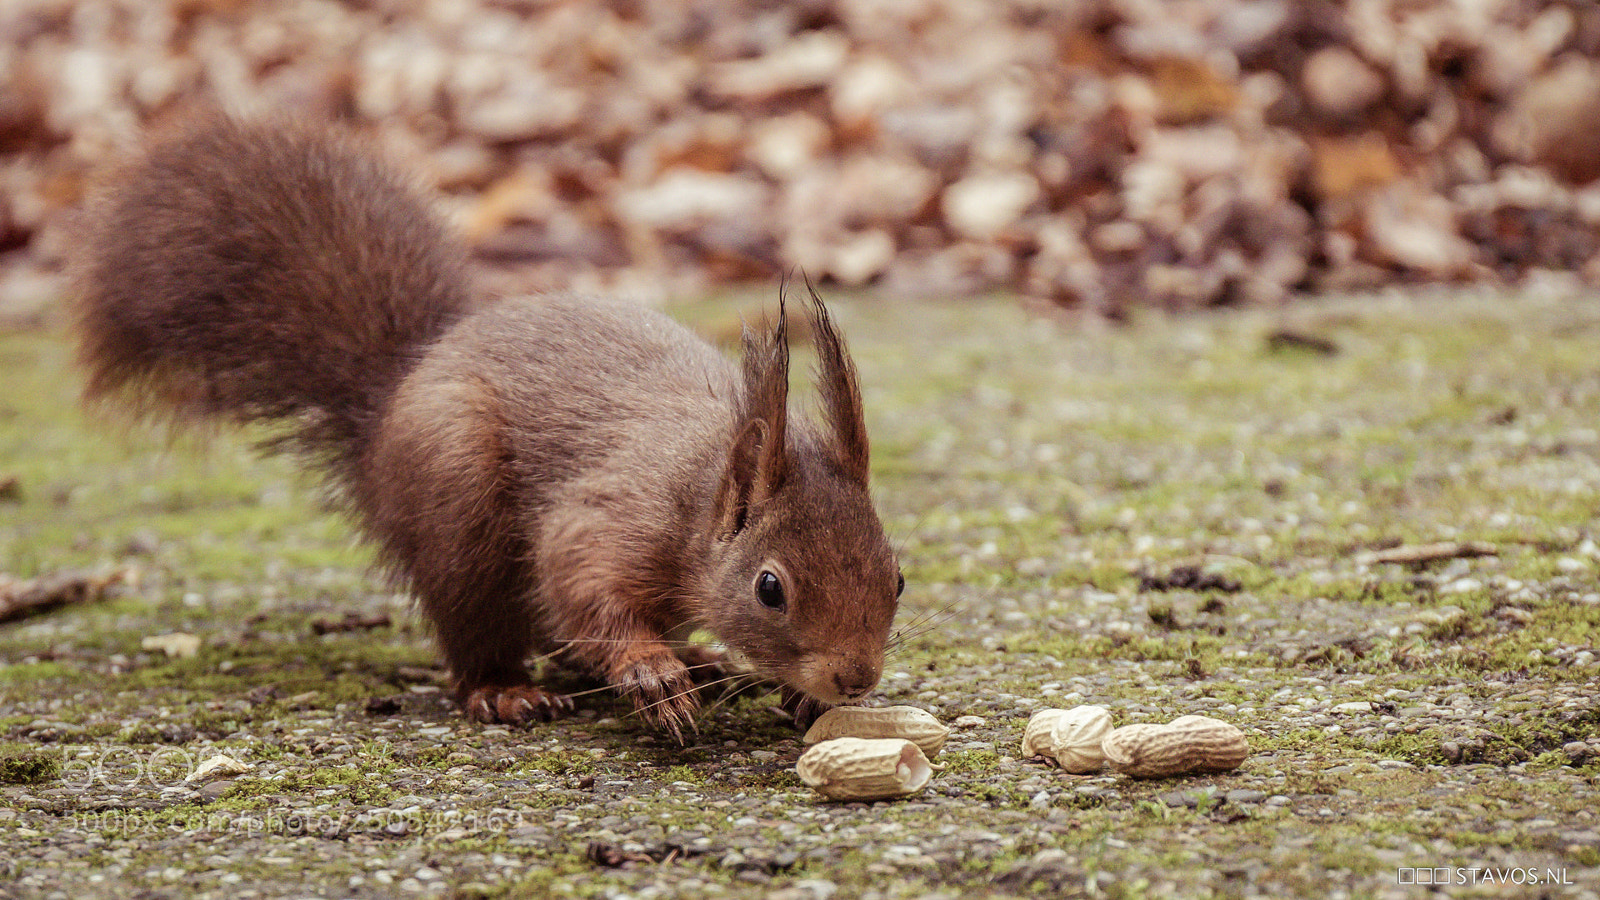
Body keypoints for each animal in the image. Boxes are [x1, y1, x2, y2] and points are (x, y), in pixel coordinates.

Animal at [71, 114, 904, 740]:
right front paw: (650, 671)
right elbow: (581, 580)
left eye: (897, 576)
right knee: (483, 633)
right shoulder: (613, 517)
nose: (854, 676)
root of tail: (390, 407)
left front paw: (797, 695)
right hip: (458, 499)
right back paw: (509, 689)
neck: (702, 484)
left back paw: (701, 662)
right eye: (770, 589)